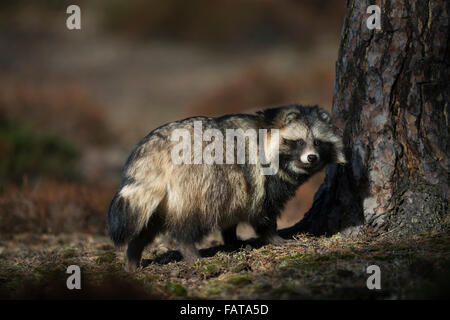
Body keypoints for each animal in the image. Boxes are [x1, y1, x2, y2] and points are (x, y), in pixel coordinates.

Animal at [108, 104, 344, 270]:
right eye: (299, 142)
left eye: (318, 142)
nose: (312, 157)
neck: (268, 125)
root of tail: (154, 147)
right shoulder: (260, 176)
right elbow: (263, 211)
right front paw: (273, 237)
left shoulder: (238, 185)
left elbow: (231, 214)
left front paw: (232, 239)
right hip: (196, 181)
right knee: (190, 222)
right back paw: (189, 250)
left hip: (161, 196)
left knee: (148, 224)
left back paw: (133, 255)